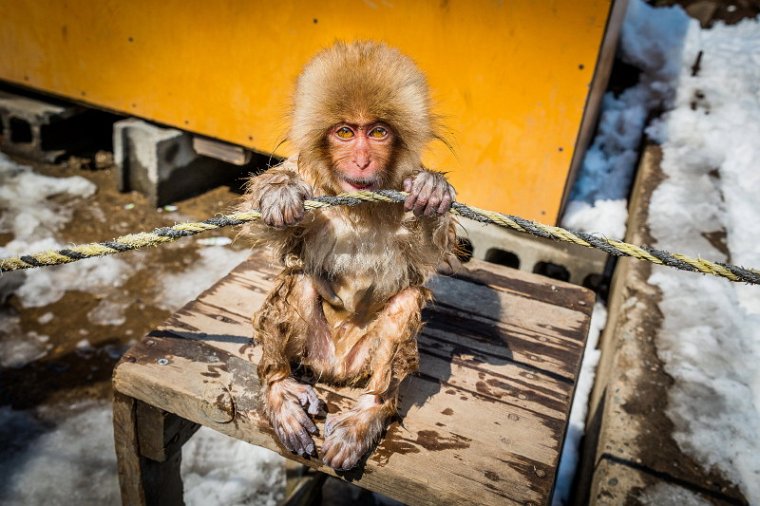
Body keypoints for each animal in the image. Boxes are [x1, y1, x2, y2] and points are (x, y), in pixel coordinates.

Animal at [240, 40, 460, 470]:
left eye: (377, 132)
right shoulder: (310, 177)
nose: (361, 160)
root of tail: (335, 369)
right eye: (345, 132)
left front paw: (431, 189)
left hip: (362, 360)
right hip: (313, 349)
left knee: (406, 301)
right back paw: (279, 386)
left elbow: (426, 252)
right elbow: (274, 229)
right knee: (299, 280)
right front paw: (278, 192)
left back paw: (372, 409)